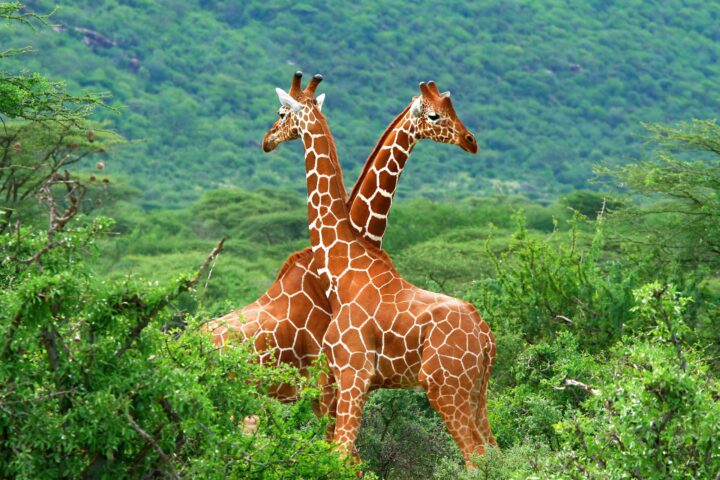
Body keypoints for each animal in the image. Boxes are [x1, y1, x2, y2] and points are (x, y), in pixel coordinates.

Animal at [260, 72, 497, 467]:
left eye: (281, 113)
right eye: (436, 114)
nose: (267, 140)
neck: (343, 266)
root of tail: (488, 339)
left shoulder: (352, 372)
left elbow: (341, 456)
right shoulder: (342, 380)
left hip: (445, 387)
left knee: (477, 456)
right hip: (477, 392)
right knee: (498, 452)